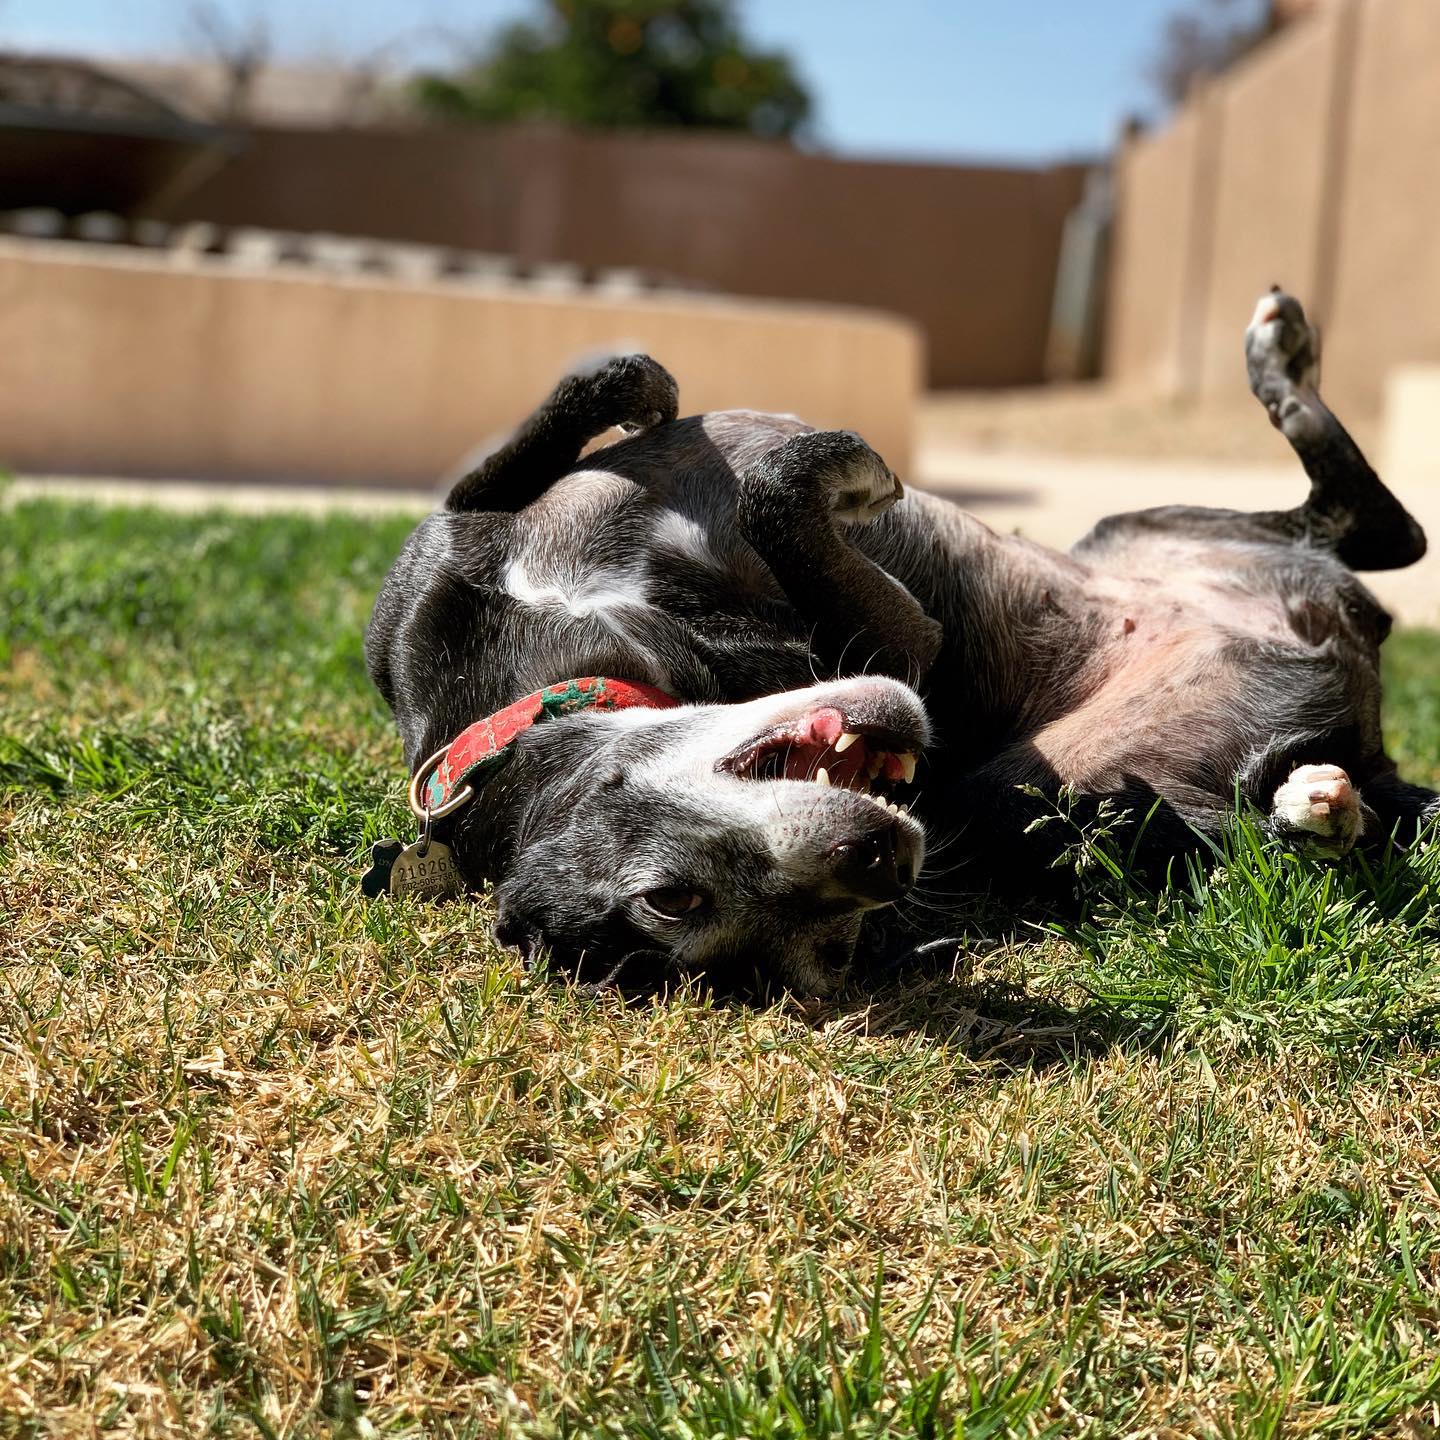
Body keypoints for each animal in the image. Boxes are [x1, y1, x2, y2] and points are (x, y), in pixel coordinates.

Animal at [368, 288, 1428, 996]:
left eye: (667, 902)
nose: (879, 861)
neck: (549, 677)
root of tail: (1366, 743)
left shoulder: (442, 557)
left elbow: (531, 441)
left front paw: (650, 395)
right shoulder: (903, 645)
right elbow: (779, 499)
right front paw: (850, 473)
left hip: (1144, 526)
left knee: (1380, 529)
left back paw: (1281, 359)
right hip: (1035, 795)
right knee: (1278, 821)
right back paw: (1317, 808)